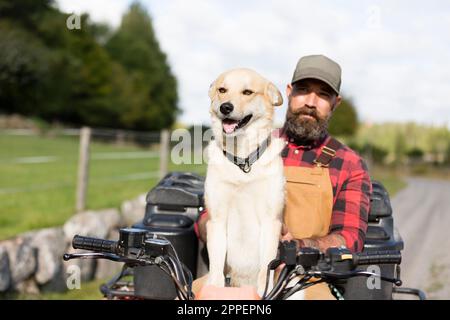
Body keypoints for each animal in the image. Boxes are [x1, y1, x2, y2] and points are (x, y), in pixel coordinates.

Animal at [204, 67, 284, 296]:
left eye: (247, 92)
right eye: (222, 90)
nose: (225, 107)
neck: (243, 161)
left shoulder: (271, 221)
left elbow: (266, 270)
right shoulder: (216, 220)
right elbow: (216, 271)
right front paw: (215, 290)